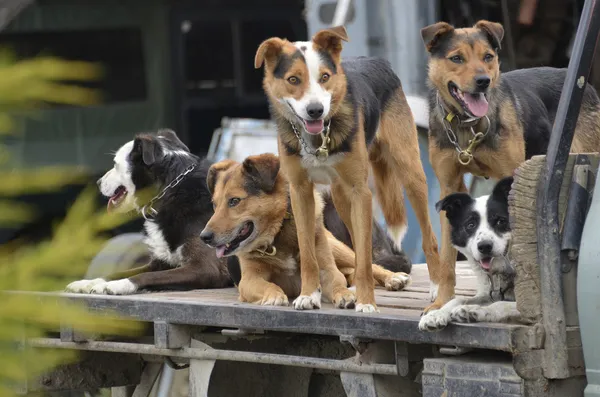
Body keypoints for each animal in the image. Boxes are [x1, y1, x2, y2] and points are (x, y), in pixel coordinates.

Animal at [65, 130, 230, 294]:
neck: (171, 190)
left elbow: (147, 276)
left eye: (115, 164)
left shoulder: (206, 268)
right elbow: (123, 272)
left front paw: (118, 284)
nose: (98, 182)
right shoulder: (160, 263)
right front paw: (90, 282)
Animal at [199, 153, 410, 308]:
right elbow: (268, 285)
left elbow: (337, 282)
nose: (204, 237)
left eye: (234, 201)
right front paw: (274, 295)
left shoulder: (328, 270)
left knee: (366, 265)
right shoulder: (249, 280)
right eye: (214, 204)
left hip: (337, 248)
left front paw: (344, 295)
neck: (277, 234)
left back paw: (393, 278)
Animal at [253, 25, 440, 312]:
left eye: (325, 77)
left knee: (427, 238)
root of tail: (377, 60)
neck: (317, 140)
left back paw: (437, 288)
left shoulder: (361, 192)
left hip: (410, 175)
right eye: (293, 79)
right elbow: (308, 253)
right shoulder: (300, 192)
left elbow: (362, 257)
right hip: (341, 198)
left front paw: (366, 303)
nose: (316, 111)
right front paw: (308, 294)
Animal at [420, 19, 600, 310]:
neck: (468, 127)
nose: (483, 82)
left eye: (488, 57)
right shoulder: (449, 185)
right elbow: (448, 257)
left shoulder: (510, 177)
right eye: (456, 58)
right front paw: (442, 302)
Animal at [420, 177, 524, 332]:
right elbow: (459, 299)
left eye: (500, 221)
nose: (484, 246)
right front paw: (436, 314)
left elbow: (500, 304)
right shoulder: (488, 294)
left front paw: (472, 310)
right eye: (470, 225)